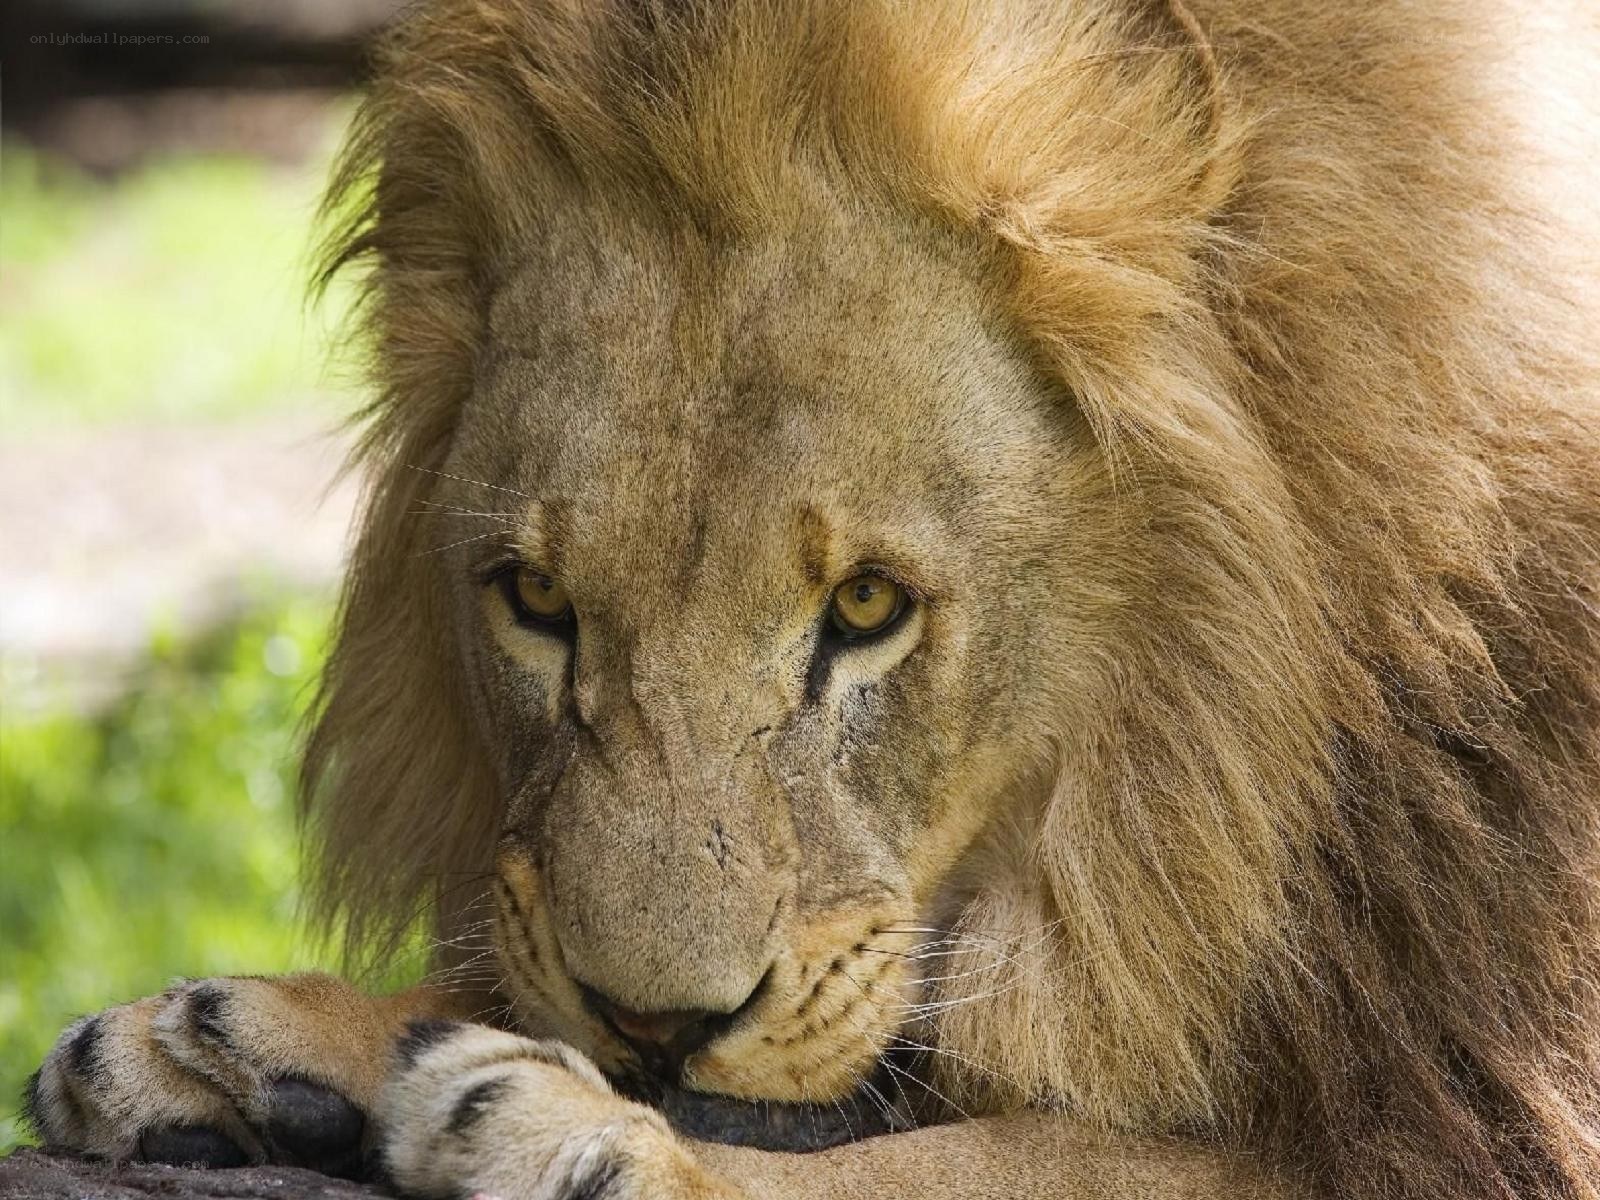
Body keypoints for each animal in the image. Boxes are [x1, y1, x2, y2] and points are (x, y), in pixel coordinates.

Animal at [25, 1, 1600, 1198]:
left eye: (865, 606)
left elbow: (978, 1165)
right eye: (535, 597)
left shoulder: (1471, 1116)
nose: (652, 1030)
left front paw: (574, 1135)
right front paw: (238, 1041)